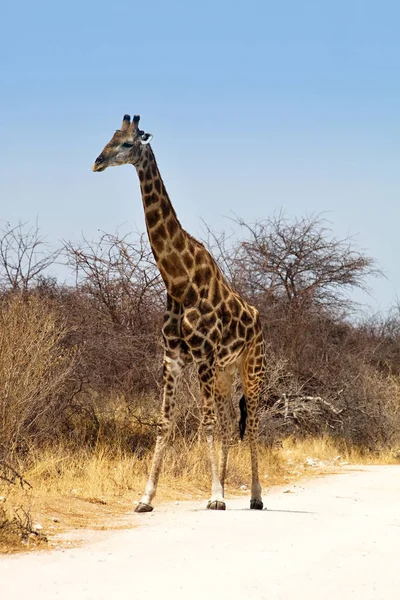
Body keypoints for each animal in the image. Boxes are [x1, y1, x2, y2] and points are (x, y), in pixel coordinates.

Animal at [92, 116, 268, 510]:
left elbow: (205, 423)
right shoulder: (172, 357)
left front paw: (215, 497)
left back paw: (255, 496)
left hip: (252, 368)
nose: (97, 162)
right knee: (229, 419)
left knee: (253, 422)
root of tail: (259, 319)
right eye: (110, 136)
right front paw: (146, 497)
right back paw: (229, 488)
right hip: (225, 371)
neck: (177, 281)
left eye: (128, 143)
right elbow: (164, 423)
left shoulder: (203, 357)